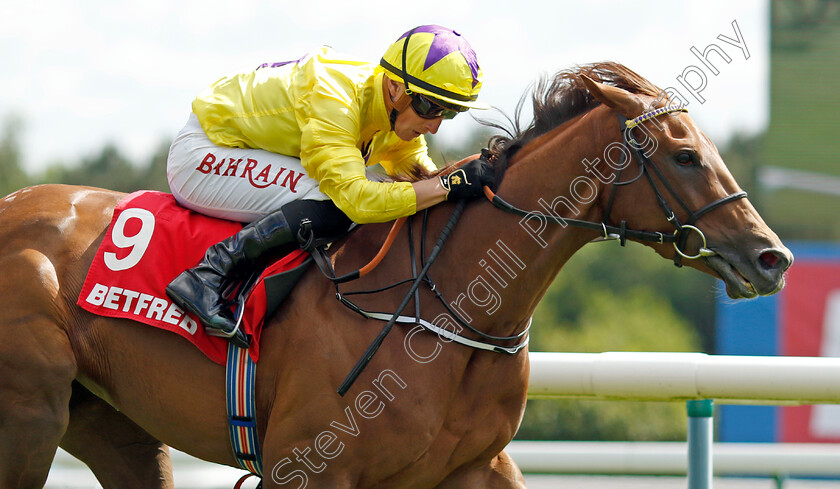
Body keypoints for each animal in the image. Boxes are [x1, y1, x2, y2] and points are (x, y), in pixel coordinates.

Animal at [0, 63, 792, 486]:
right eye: (685, 155)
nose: (771, 257)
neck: (449, 311)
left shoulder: (476, 465)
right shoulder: (308, 464)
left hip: (111, 421)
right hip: (31, 414)